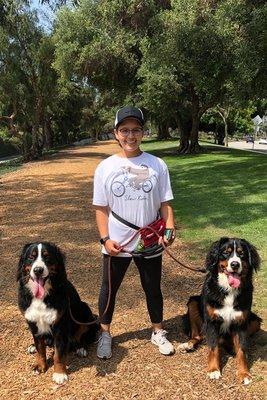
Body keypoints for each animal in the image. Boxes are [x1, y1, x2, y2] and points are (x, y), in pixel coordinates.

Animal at [16, 241, 99, 384]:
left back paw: (81, 348)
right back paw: (33, 346)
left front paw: (59, 373)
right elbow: (40, 348)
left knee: (83, 335)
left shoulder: (60, 325)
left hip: (85, 310)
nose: (38, 270)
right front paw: (40, 366)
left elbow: (59, 354)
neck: (42, 296)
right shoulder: (32, 321)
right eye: (31, 257)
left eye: (47, 257)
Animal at [180, 238, 262, 384]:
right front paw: (213, 370)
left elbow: (242, 349)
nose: (235, 264)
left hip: (255, 321)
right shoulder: (212, 321)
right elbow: (213, 348)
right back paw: (189, 345)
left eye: (241, 253)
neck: (229, 290)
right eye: (226, 252)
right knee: (198, 336)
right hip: (193, 303)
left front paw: (244, 373)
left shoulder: (241, 321)